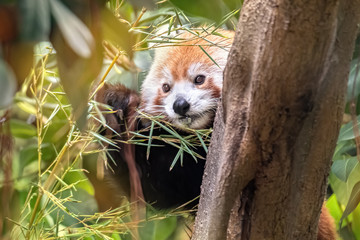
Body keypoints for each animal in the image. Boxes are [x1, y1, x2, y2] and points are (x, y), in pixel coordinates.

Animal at [96, 29, 338, 238]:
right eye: (166, 87)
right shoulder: (178, 164)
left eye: (199, 79)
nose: (180, 105)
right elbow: (151, 187)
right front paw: (115, 106)